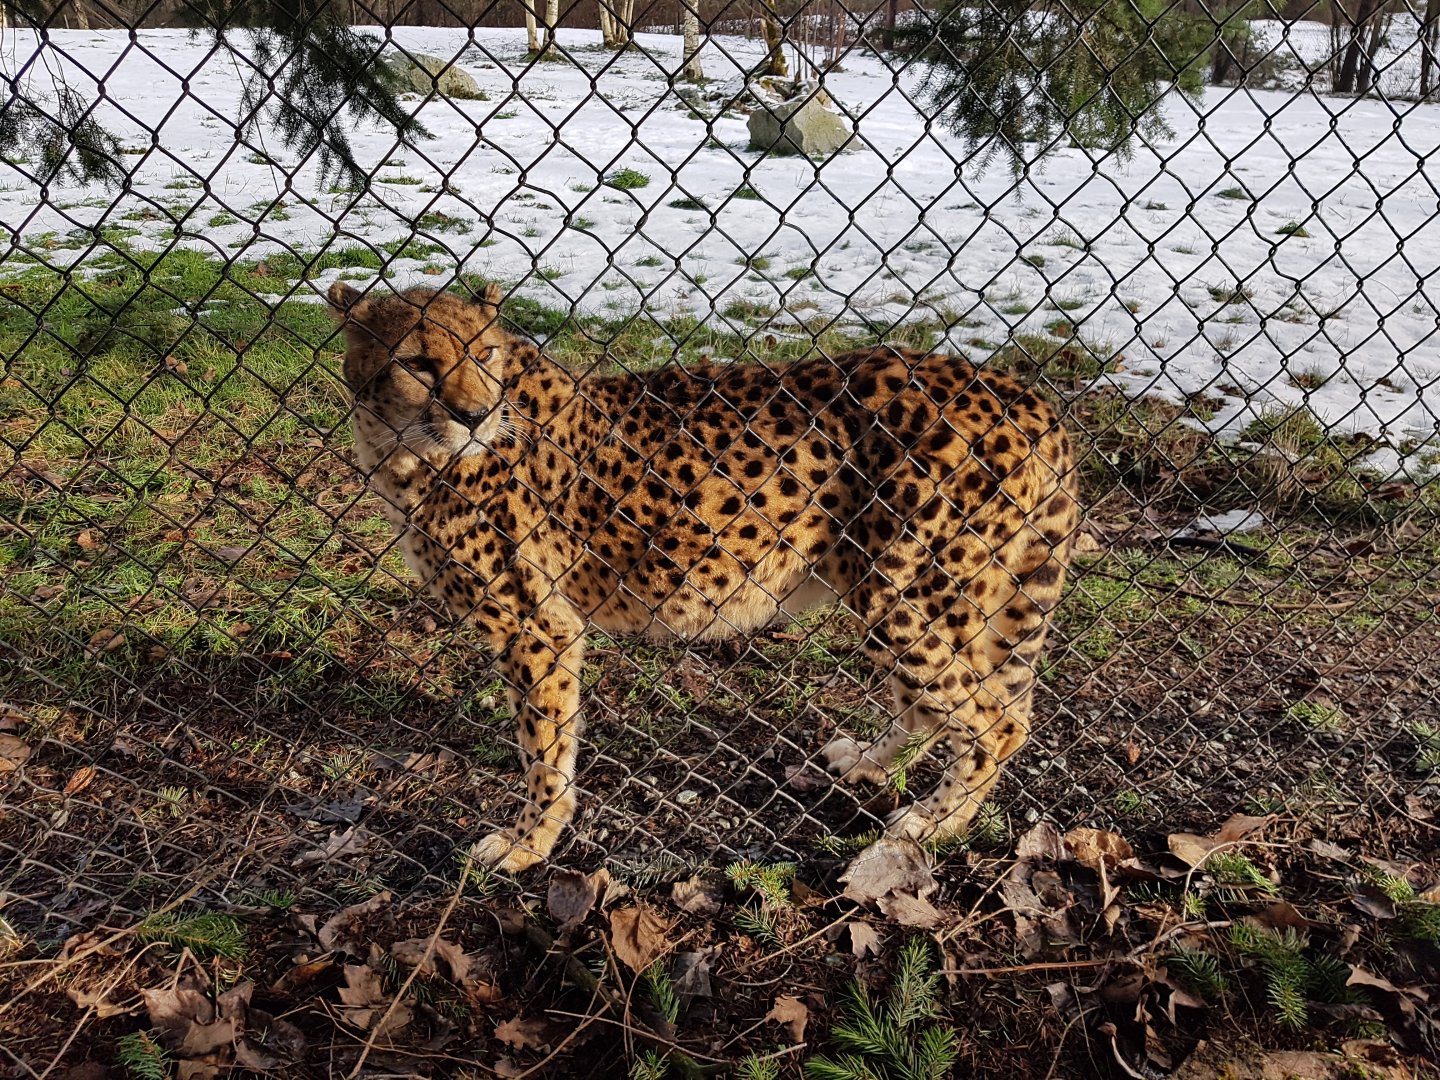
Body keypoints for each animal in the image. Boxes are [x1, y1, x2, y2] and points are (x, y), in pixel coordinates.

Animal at [327, 281, 1079, 873]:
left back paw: (931, 823)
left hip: (904, 593)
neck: (408, 453)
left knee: (996, 721)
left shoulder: (539, 627)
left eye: (484, 354)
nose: (476, 414)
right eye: (416, 363)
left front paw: (527, 842)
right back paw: (866, 759)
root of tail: (1023, 393)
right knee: (947, 704)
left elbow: (545, 748)